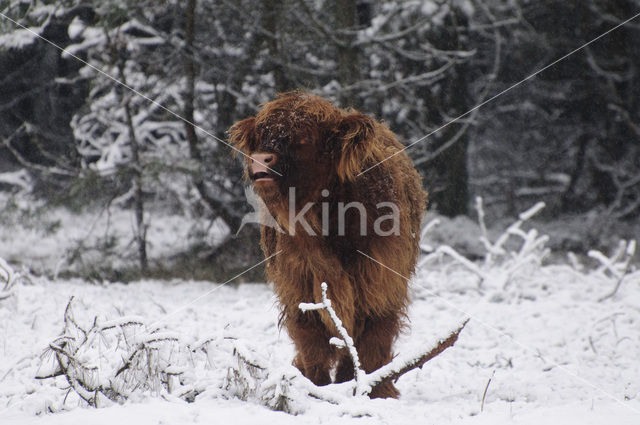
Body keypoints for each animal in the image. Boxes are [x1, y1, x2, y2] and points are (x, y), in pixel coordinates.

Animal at [228, 90, 428, 398]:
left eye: (305, 138)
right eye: (261, 133)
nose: (261, 159)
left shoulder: (381, 285)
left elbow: (371, 343)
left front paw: (373, 390)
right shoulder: (298, 288)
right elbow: (313, 345)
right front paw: (314, 387)